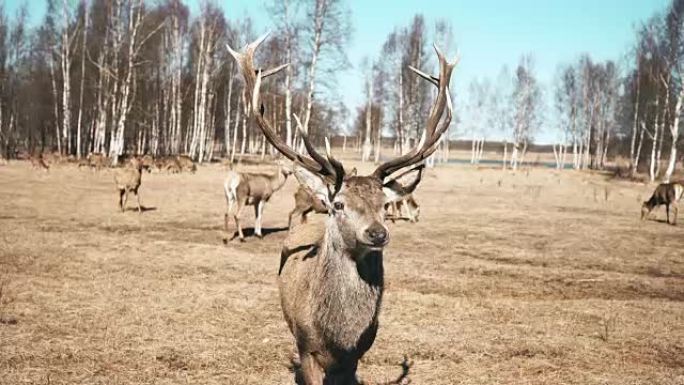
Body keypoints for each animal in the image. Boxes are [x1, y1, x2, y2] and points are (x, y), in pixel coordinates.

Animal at [227, 33, 456, 384]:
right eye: (338, 204)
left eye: (384, 204)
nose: (377, 233)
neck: (339, 336)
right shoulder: (306, 346)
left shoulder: (355, 357)